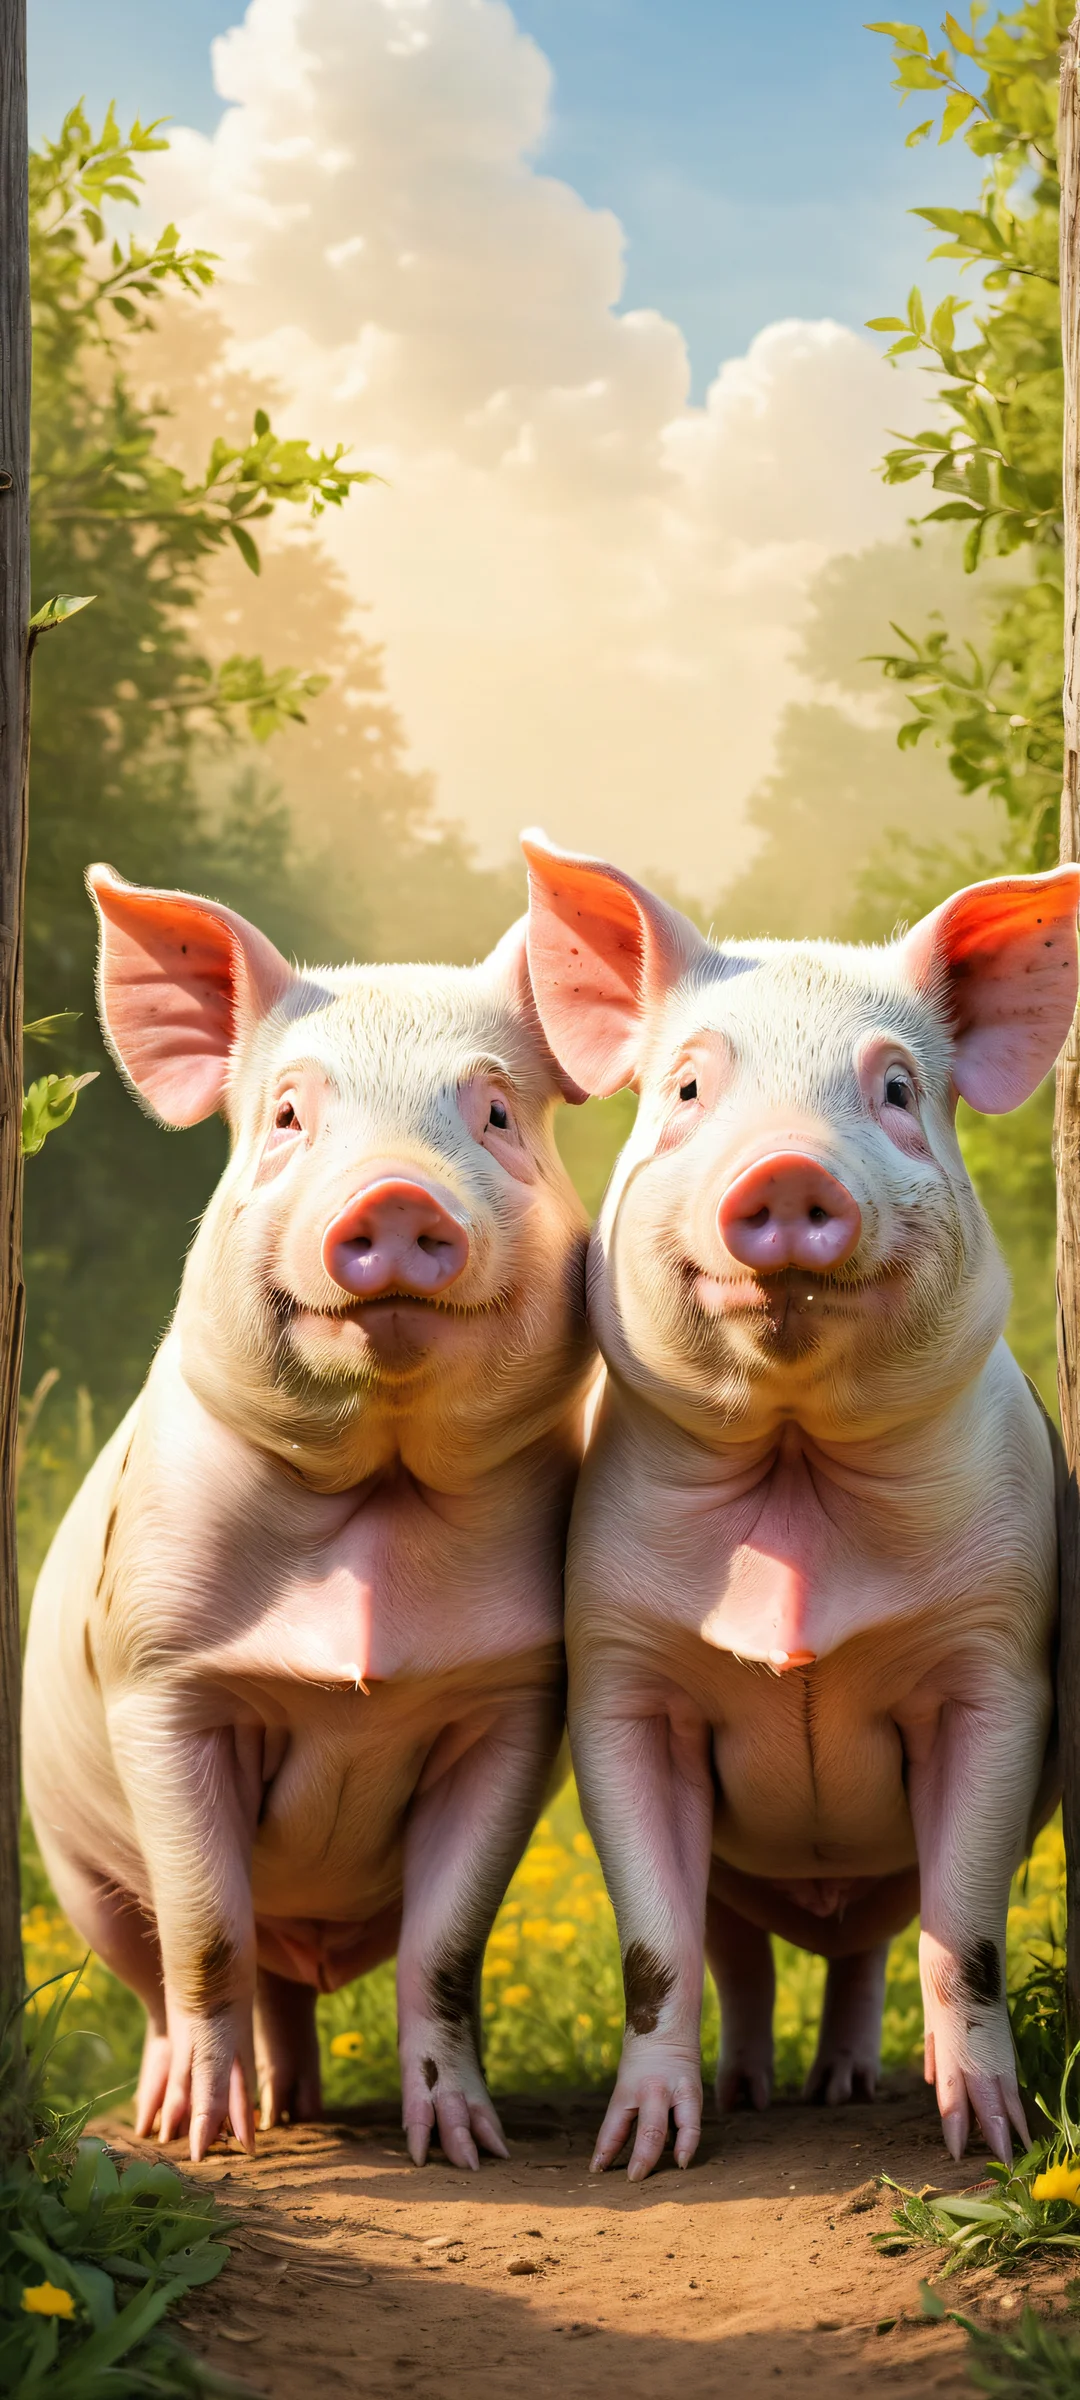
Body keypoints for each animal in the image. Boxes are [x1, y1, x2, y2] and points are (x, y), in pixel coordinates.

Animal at [23, 865, 594, 2166]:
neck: (375, 1501)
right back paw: (201, 2115)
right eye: (287, 1116)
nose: (392, 1194)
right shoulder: (162, 1679)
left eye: (496, 1112)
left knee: (288, 1986)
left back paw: (300, 2108)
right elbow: (204, 1927)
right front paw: (205, 2144)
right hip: (76, 1867)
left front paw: (466, 2148)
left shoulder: (511, 1700)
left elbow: (446, 1948)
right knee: (172, 1971)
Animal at [521, 830, 1077, 2180]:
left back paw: (847, 2088)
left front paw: (987, 2143)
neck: (796, 1474)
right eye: (685, 1090)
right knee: (742, 1957)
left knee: (867, 1949)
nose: (783, 1169)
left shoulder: (1000, 1670)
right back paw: (754, 2094)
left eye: (896, 1090)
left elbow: (967, 1931)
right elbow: (652, 1948)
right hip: (740, 1884)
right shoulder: (620, 1679)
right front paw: (636, 2159)